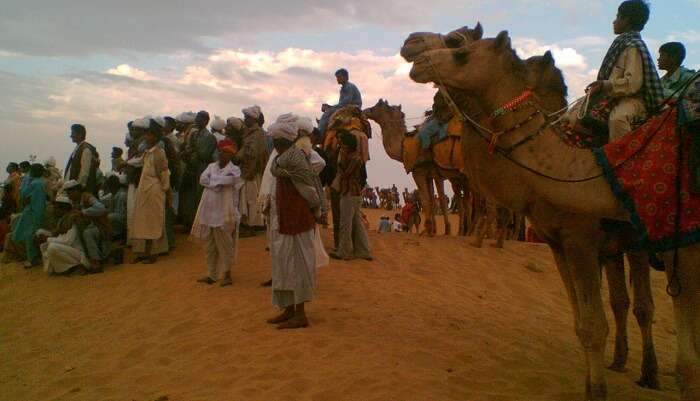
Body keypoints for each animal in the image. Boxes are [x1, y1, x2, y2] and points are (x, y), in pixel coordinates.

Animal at [400, 32, 696, 400]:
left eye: (460, 47)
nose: (413, 51)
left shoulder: (583, 240)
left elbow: (595, 325)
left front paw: (597, 389)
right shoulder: (559, 243)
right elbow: (582, 322)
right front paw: (590, 384)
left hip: (643, 242)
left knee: (644, 305)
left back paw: (650, 373)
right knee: (623, 301)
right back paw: (621, 361)